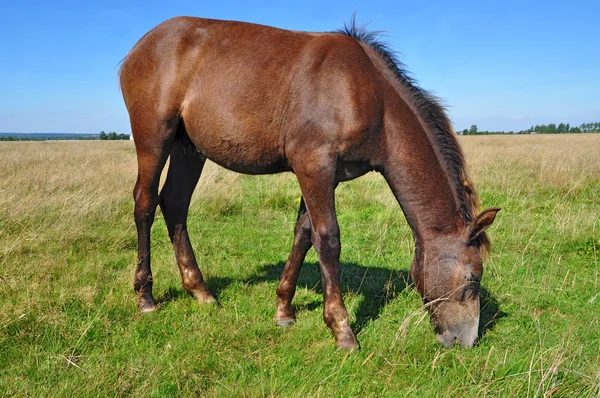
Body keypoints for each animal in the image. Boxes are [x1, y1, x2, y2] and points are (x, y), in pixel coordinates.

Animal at [119, 15, 500, 348]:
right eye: (473, 277)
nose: (466, 340)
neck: (368, 94)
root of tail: (139, 48)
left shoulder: (326, 175)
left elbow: (303, 234)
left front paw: (284, 309)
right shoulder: (314, 164)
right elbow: (328, 239)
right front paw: (342, 329)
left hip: (189, 148)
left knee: (175, 204)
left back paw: (200, 290)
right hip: (154, 137)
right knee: (145, 204)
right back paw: (145, 296)